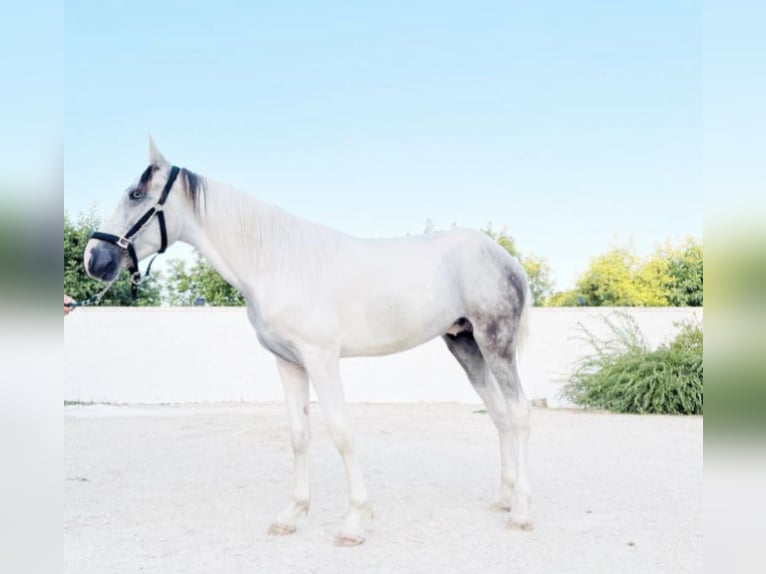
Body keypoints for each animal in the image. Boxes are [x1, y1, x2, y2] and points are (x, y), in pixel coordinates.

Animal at [85, 138, 536, 544]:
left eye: (135, 194)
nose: (94, 259)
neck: (277, 262)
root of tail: (505, 258)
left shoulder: (321, 358)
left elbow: (340, 431)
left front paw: (354, 522)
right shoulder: (289, 361)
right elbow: (299, 434)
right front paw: (292, 514)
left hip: (495, 342)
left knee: (518, 413)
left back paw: (521, 512)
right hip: (465, 344)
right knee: (498, 414)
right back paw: (505, 497)